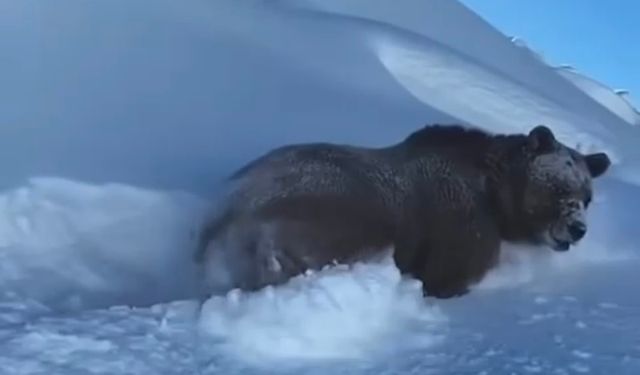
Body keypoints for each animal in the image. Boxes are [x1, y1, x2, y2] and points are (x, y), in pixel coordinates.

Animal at [194, 125, 608, 298]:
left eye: (587, 196)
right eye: (559, 188)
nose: (578, 228)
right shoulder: (459, 233)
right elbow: (448, 277)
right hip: (332, 218)